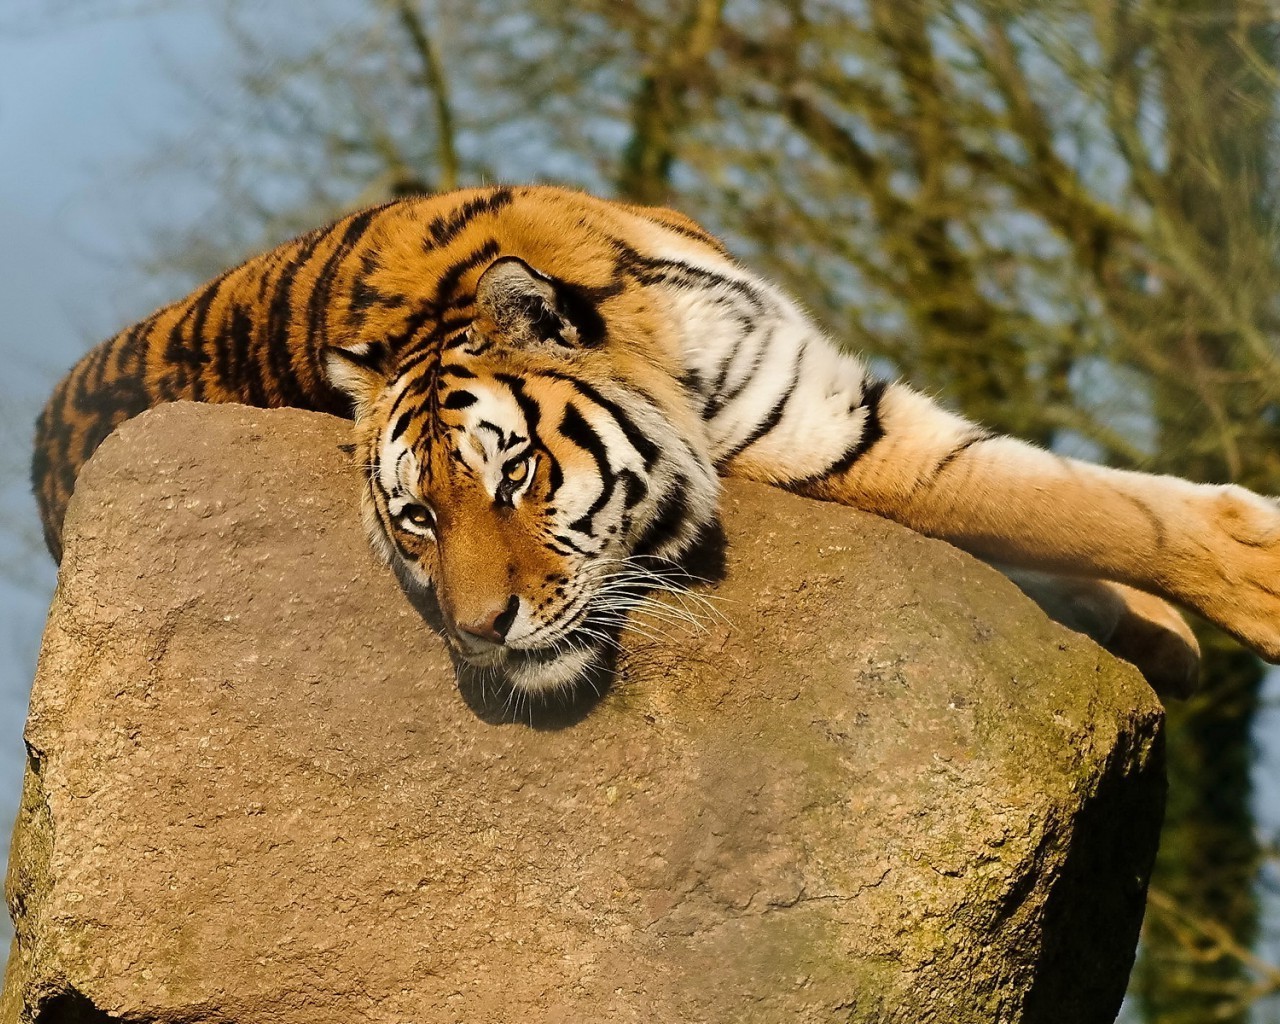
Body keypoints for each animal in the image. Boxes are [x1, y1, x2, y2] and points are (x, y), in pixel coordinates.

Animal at [32, 185, 1280, 698]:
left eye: (516, 472)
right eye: (417, 517)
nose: (479, 631)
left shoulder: (821, 398)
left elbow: (1069, 504)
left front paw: (1165, 623)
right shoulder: (832, 443)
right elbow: (1067, 508)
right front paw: (1245, 587)